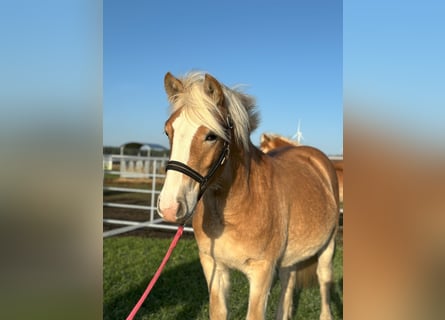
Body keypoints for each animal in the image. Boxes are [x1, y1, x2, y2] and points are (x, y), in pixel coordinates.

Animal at [158, 72, 338, 320]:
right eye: (168, 131)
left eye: (211, 136)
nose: (169, 207)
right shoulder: (213, 267)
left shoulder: (261, 272)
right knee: (288, 282)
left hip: (328, 247)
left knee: (324, 281)